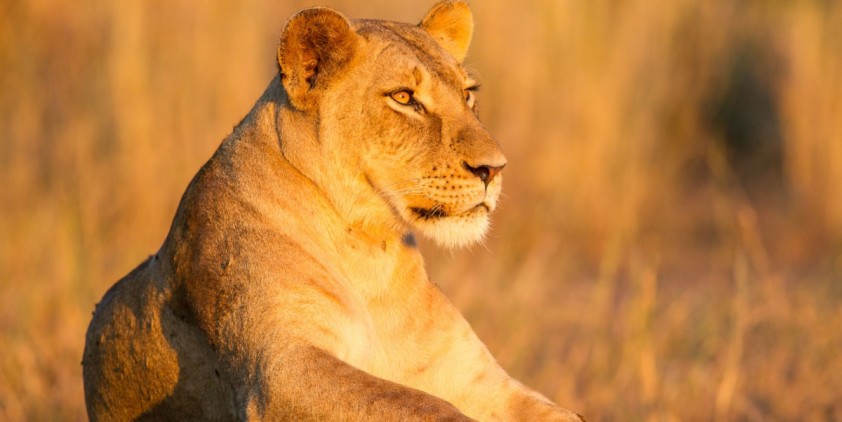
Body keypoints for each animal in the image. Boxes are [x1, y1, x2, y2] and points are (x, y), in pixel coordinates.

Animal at [82, 1, 584, 421]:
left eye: (468, 94)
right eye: (404, 98)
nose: (494, 169)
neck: (370, 248)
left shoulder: (475, 378)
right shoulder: (279, 372)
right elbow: (421, 405)